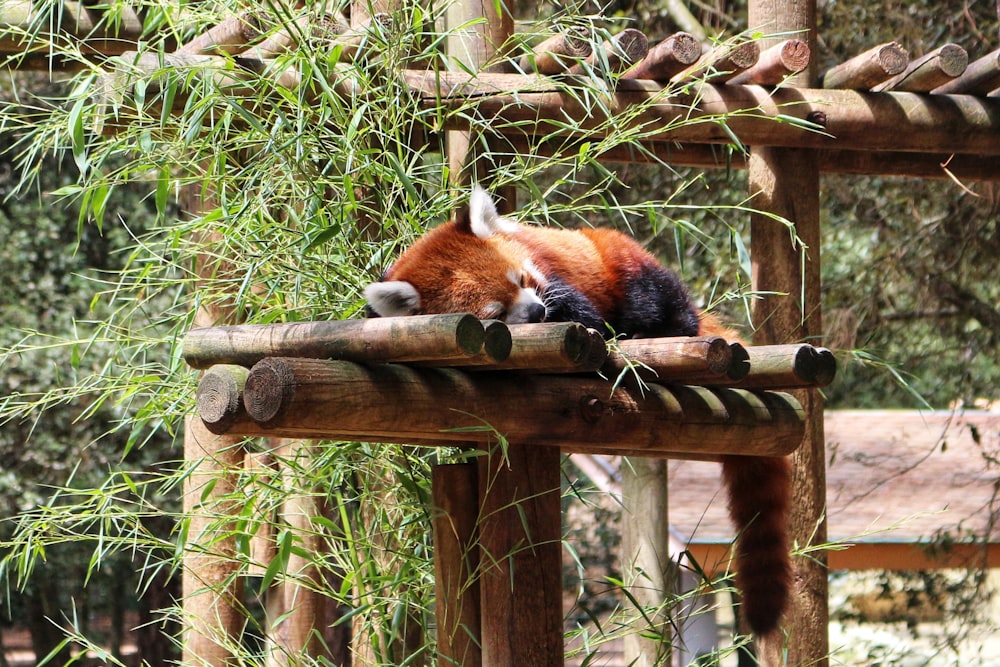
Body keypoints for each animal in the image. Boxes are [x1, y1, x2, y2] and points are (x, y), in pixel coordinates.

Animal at [364, 184, 792, 636]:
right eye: (496, 313)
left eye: (521, 279)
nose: (536, 312)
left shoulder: (555, 276)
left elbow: (583, 316)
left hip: (621, 258)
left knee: (659, 300)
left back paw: (652, 328)